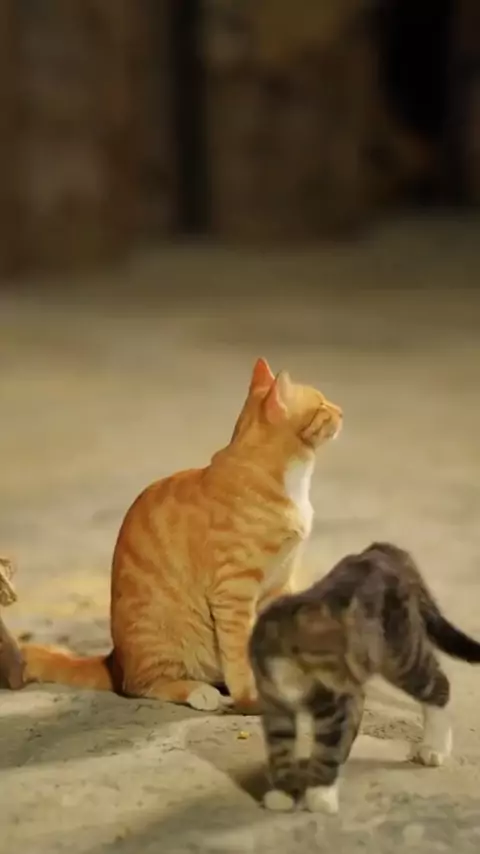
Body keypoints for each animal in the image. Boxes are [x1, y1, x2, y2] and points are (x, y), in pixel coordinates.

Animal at [9, 358, 342, 714]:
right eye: (323, 405)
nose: (341, 410)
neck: (291, 480)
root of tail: (114, 661)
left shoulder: (278, 585)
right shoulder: (233, 592)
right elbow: (239, 653)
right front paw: (251, 699)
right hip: (159, 643)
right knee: (143, 686)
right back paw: (199, 692)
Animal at [249, 541, 480, 812]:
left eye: (352, 653)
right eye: (336, 659)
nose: (353, 677)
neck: (292, 673)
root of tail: (382, 550)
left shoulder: (335, 705)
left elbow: (328, 749)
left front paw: (320, 795)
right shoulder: (274, 704)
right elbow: (280, 748)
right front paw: (282, 792)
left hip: (402, 656)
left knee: (438, 685)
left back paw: (435, 747)